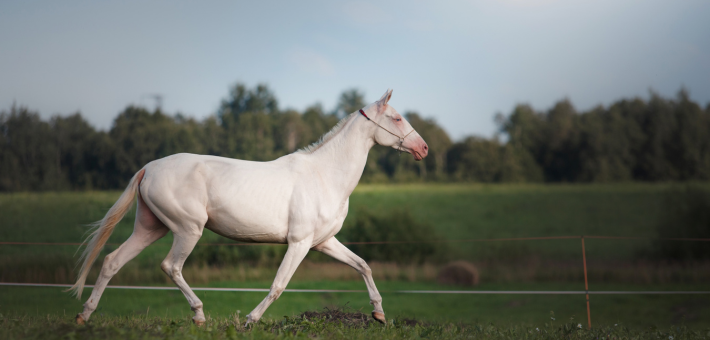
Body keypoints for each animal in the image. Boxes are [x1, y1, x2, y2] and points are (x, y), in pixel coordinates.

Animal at [69, 89, 432, 326]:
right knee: (170, 266)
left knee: (112, 261)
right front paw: (250, 320)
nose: (424, 148)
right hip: (187, 230)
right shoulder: (299, 243)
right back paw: (199, 315)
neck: (325, 175)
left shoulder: (323, 242)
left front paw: (379, 314)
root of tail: (149, 167)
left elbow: (363, 266)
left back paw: (84, 315)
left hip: (150, 228)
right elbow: (278, 285)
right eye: (397, 118)